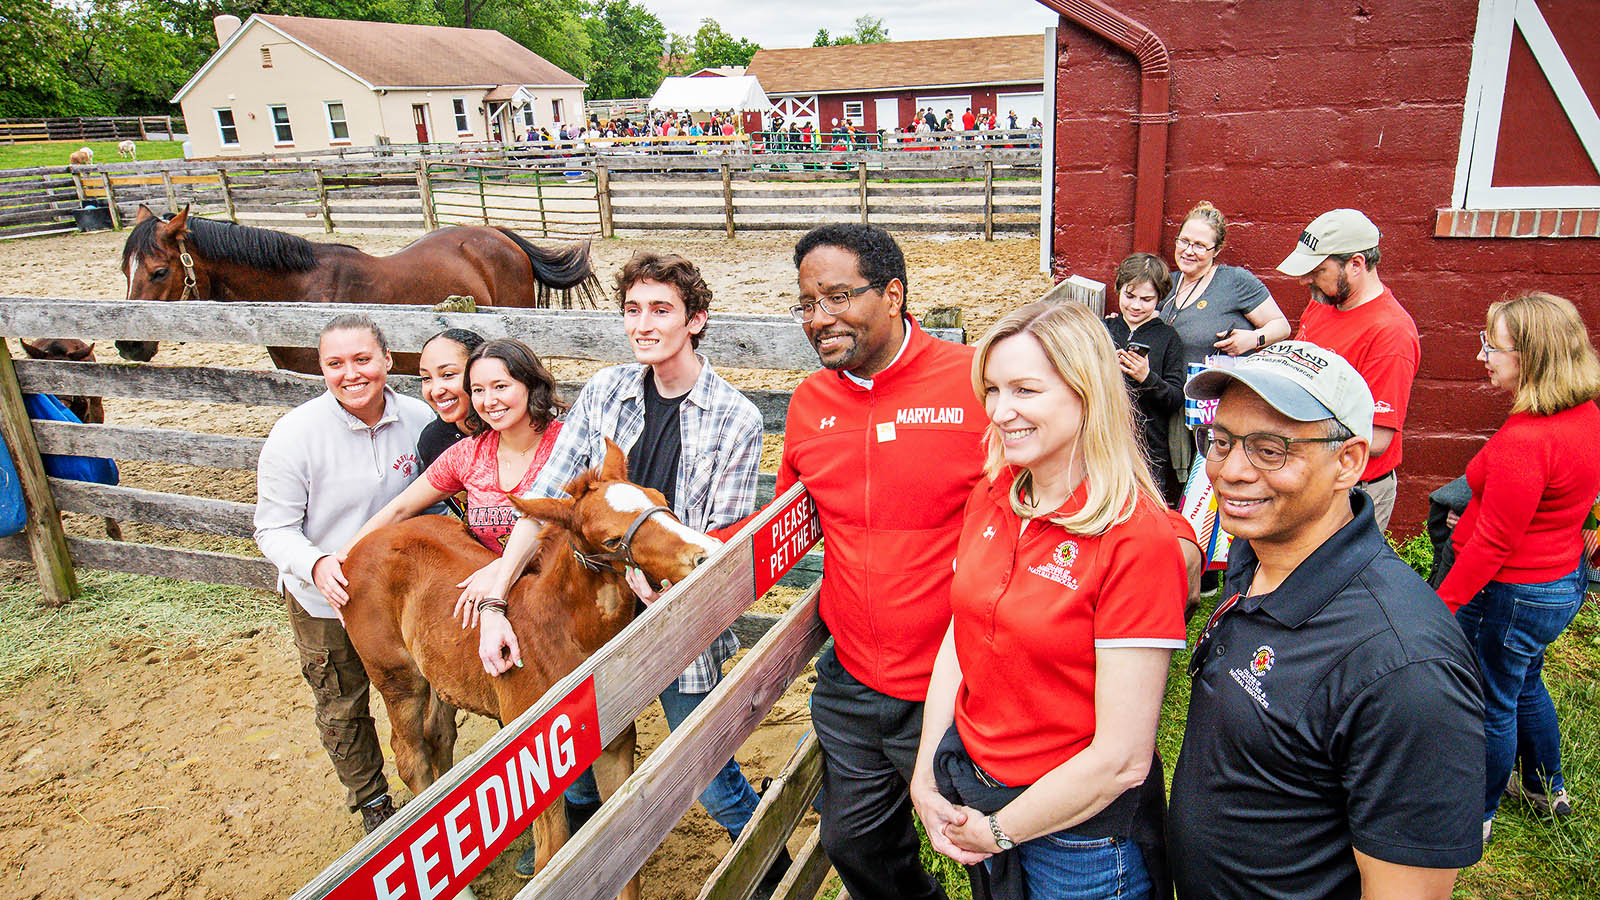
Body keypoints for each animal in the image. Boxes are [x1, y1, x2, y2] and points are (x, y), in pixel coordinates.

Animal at [344, 435, 720, 890]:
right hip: (397, 678)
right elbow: (550, 858)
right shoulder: (535, 767)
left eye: (660, 499)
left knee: (439, 738)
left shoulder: (616, 740)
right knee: (409, 753)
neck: (562, 633)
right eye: (612, 540)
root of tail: (356, 548)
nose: (704, 554)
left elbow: (623, 851)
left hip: (441, 677)